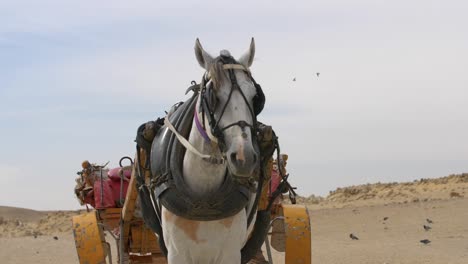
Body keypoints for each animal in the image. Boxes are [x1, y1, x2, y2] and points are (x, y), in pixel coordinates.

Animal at [141, 37, 270, 264]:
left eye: (255, 97)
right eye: (213, 96)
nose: (243, 158)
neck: (204, 200)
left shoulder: (230, 253)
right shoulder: (176, 254)